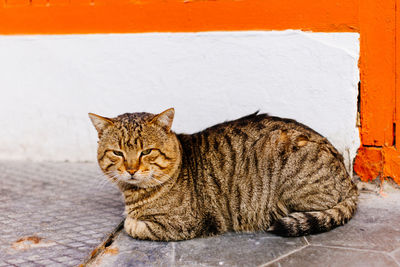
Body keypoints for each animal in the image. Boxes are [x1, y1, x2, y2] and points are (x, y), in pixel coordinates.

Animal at [89, 108, 358, 242]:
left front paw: (130, 221)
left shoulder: (187, 223)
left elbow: (132, 225)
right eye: (117, 153)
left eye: (146, 152)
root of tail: (348, 179)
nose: (131, 169)